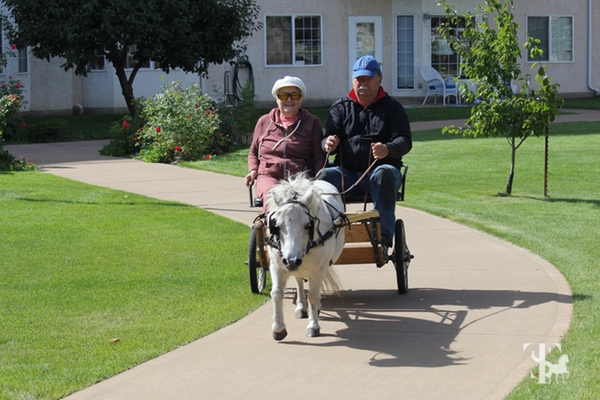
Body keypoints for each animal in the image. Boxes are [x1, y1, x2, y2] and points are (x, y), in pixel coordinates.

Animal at [266, 175, 344, 340]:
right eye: (276, 226)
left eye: (308, 225)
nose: (291, 261)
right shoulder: (277, 266)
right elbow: (276, 294)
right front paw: (278, 328)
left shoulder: (319, 268)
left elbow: (313, 297)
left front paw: (313, 326)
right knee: (299, 281)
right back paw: (301, 306)